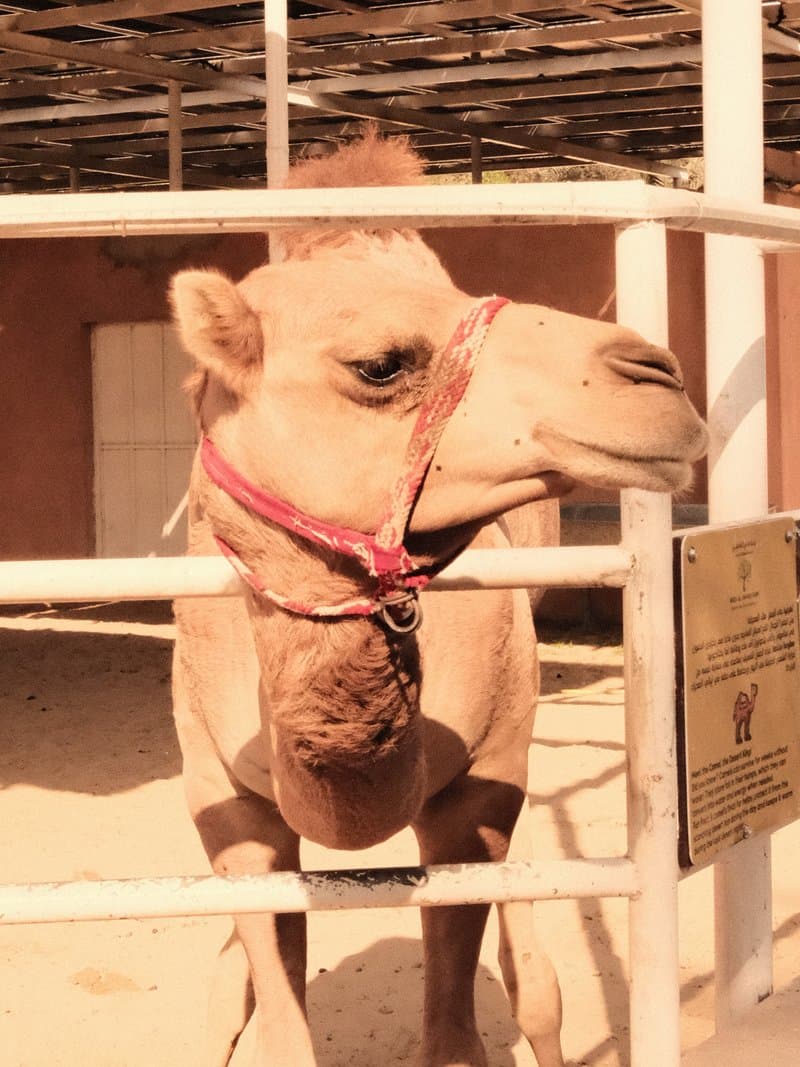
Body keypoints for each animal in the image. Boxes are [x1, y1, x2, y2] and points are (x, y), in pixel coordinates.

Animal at [170, 129, 708, 1067]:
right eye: (380, 363)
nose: (658, 376)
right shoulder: (228, 804)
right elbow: (274, 1010)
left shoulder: (480, 785)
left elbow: (459, 1028)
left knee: (534, 975)